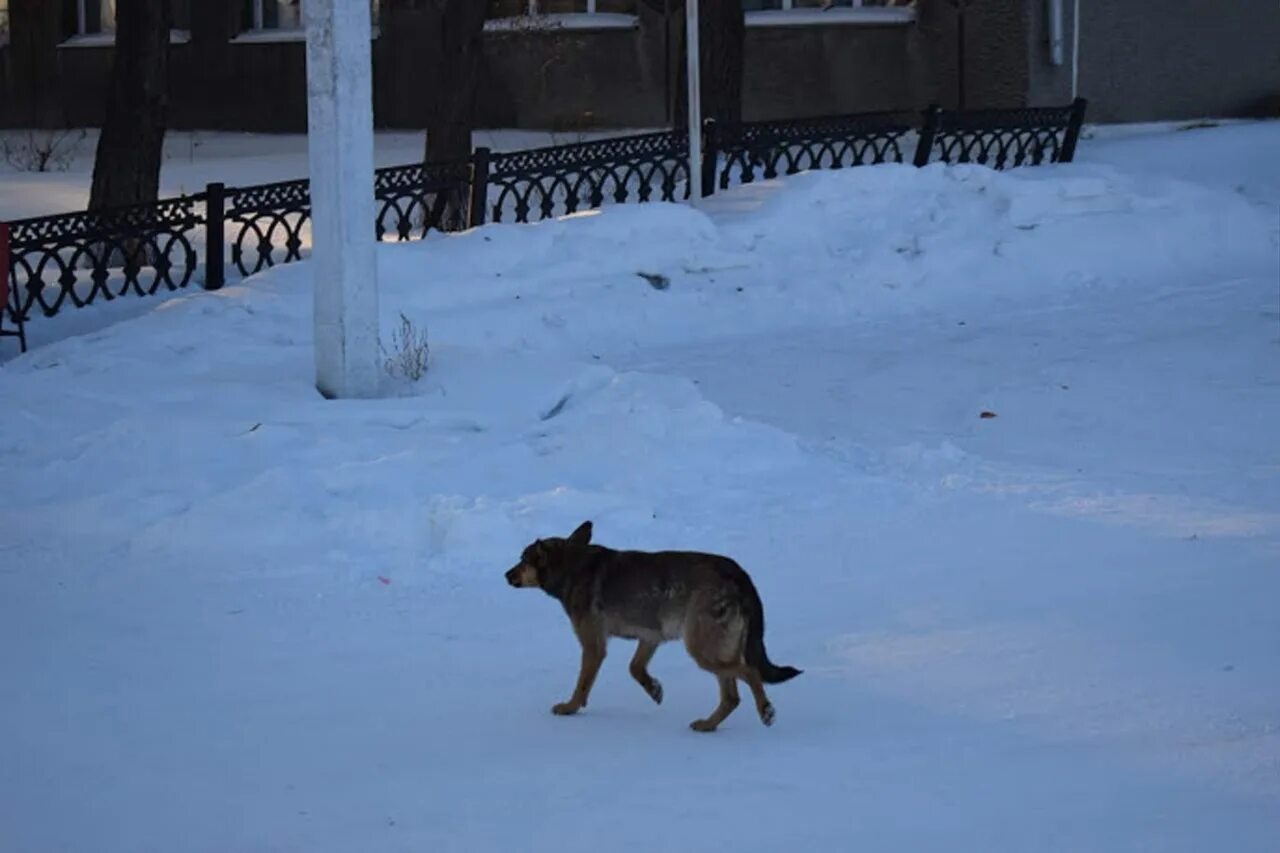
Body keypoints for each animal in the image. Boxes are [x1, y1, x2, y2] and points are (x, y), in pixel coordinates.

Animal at [501, 517, 793, 732]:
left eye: (523, 559)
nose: (505, 575)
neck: (572, 564)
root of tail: (739, 575)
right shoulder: (650, 637)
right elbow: (635, 668)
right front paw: (654, 689)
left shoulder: (594, 646)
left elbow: (583, 683)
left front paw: (570, 707)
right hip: (716, 647)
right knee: (732, 696)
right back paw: (708, 724)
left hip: (702, 648)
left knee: (750, 671)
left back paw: (765, 710)